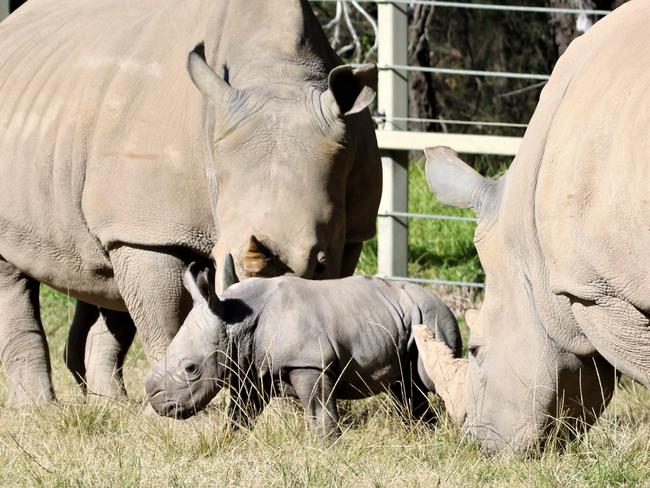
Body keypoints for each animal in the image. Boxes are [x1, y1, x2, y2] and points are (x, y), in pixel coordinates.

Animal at [0, 0, 380, 404]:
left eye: (321, 264)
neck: (278, 74)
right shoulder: (150, 227)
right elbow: (166, 321)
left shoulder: (354, 230)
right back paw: (38, 409)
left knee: (106, 286)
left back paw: (110, 404)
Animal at [146, 260, 460, 434]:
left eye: (191, 368)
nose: (158, 403)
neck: (236, 322)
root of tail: (441, 300)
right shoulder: (252, 369)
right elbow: (240, 415)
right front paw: (226, 443)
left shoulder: (309, 362)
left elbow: (319, 410)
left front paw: (328, 449)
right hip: (408, 319)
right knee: (406, 389)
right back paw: (426, 436)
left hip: (433, 317)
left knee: (432, 379)